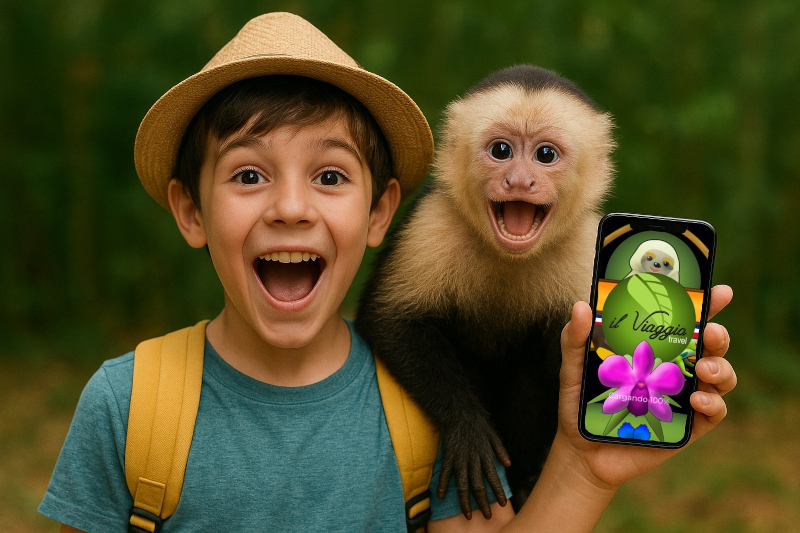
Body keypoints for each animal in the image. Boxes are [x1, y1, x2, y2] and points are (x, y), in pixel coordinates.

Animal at [355, 65, 615, 518]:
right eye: (501, 150)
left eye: (545, 155)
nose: (520, 181)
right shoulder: (433, 223)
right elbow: (391, 321)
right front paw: (467, 430)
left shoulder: (584, 251)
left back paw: (525, 479)